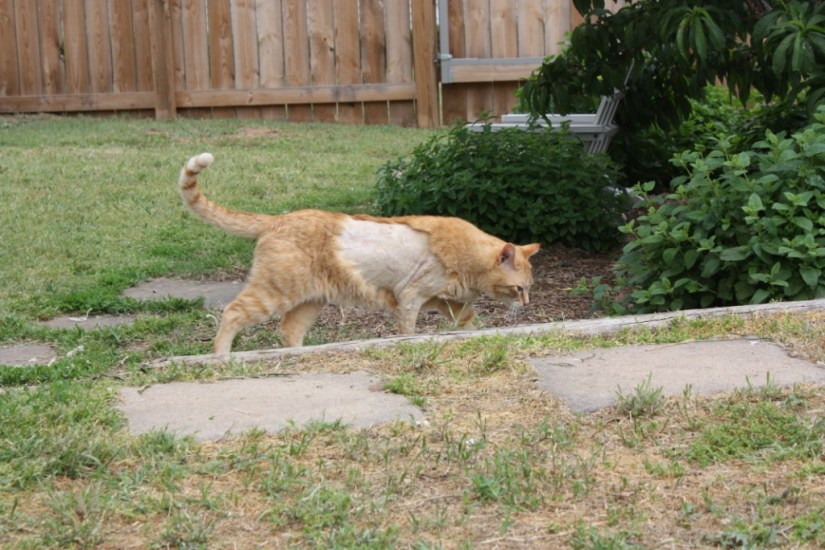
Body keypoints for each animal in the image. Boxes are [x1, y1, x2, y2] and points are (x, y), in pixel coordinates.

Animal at [178, 152, 540, 356]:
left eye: (528, 290)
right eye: (519, 289)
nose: (526, 304)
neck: (467, 259)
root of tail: (279, 219)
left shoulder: (448, 304)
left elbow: (470, 322)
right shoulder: (410, 299)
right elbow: (409, 331)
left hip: (309, 302)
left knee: (288, 331)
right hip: (273, 293)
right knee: (233, 312)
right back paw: (221, 357)